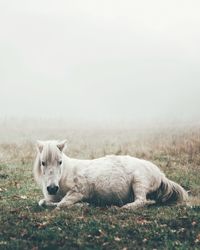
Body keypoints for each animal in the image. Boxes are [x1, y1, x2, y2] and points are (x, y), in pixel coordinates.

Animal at [33, 141, 188, 209]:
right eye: (43, 162)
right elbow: (43, 202)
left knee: (142, 201)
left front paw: (83, 204)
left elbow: (62, 204)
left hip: (139, 182)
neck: (66, 174)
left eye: (60, 162)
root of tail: (160, 174)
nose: (52, 188)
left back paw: (126, 206)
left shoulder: (79, 191)